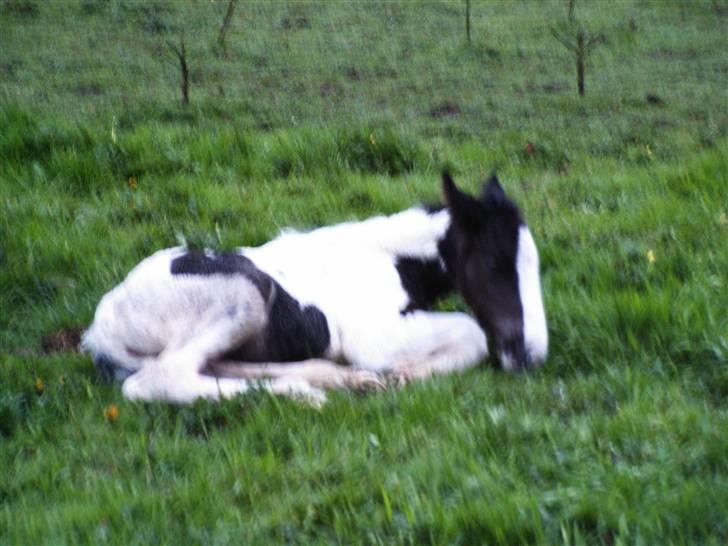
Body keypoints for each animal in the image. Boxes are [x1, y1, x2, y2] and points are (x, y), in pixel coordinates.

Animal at [82, 172, 544, 402]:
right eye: (495, 263)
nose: (531, 355)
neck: (393, 259)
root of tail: (101, 326)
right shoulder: (374, 337)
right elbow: (471, 330)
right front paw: (406, 374)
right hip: (245, 293)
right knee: (158, 380)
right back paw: (305, 395)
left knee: (211, 366)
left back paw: (341, 380)